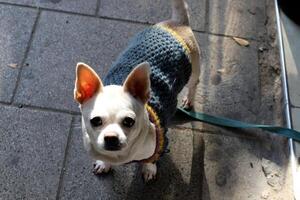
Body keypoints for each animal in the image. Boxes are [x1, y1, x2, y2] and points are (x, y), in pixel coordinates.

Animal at [73, 0, 200, 182]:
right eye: (95, 121)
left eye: (129, 121)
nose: (111, 137)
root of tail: (177, 23)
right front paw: (105, 163)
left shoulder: (160, 141)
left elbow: (151, 158)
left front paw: (149, 168)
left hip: (194, 70)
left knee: (193, 85)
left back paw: (189, 100)